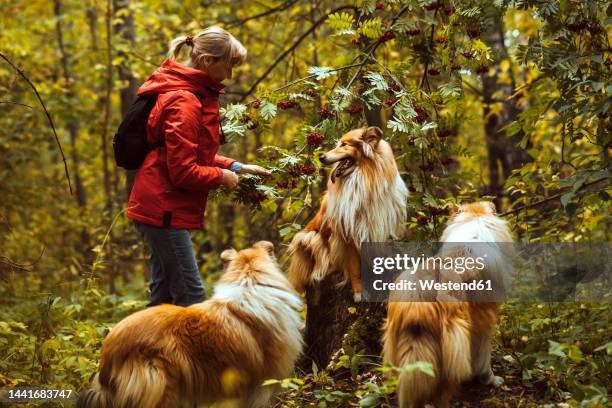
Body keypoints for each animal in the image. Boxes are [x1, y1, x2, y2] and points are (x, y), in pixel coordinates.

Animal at [290, 126, 408, 302]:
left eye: (344, 144)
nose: (321, 157)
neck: (364, 179)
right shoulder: (348, 233)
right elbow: (354, 268)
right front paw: (359, 293)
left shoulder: (378, 227)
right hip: (308, 238)